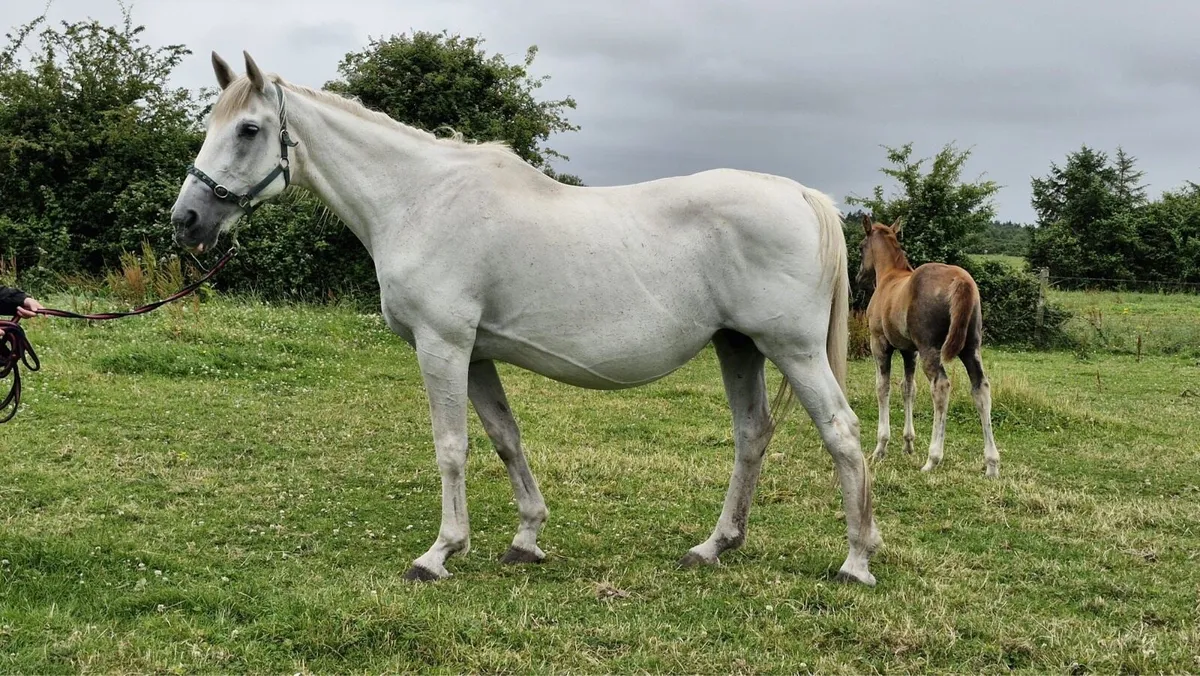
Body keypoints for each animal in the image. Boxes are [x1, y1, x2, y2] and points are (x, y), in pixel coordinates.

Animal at [168, 51, 883, 585]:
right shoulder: (476, 353)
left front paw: (439, 553)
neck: (420, 199)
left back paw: (855, 561)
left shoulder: (442, 346)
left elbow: (451, 447)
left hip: (791, 348)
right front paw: (526, 538)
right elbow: (504, 439)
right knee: (751, 434)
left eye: (249, 129)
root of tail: (801, 193)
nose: (187, 220)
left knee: (843, 434)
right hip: (737, 346)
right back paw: (714, 545)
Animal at [856, 214, 1000, 478]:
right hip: (971, 348)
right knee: (981, 388)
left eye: (861, 248)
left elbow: (883, 388)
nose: (859, 278)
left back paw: (933, 459)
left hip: (930, 350)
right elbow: (908, 388)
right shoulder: (909, 351)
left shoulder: (879, 344)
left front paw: (880, 448)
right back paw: (992, 464)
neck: (890, 277)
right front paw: (908, 444)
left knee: (941, 387)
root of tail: (961, 280)